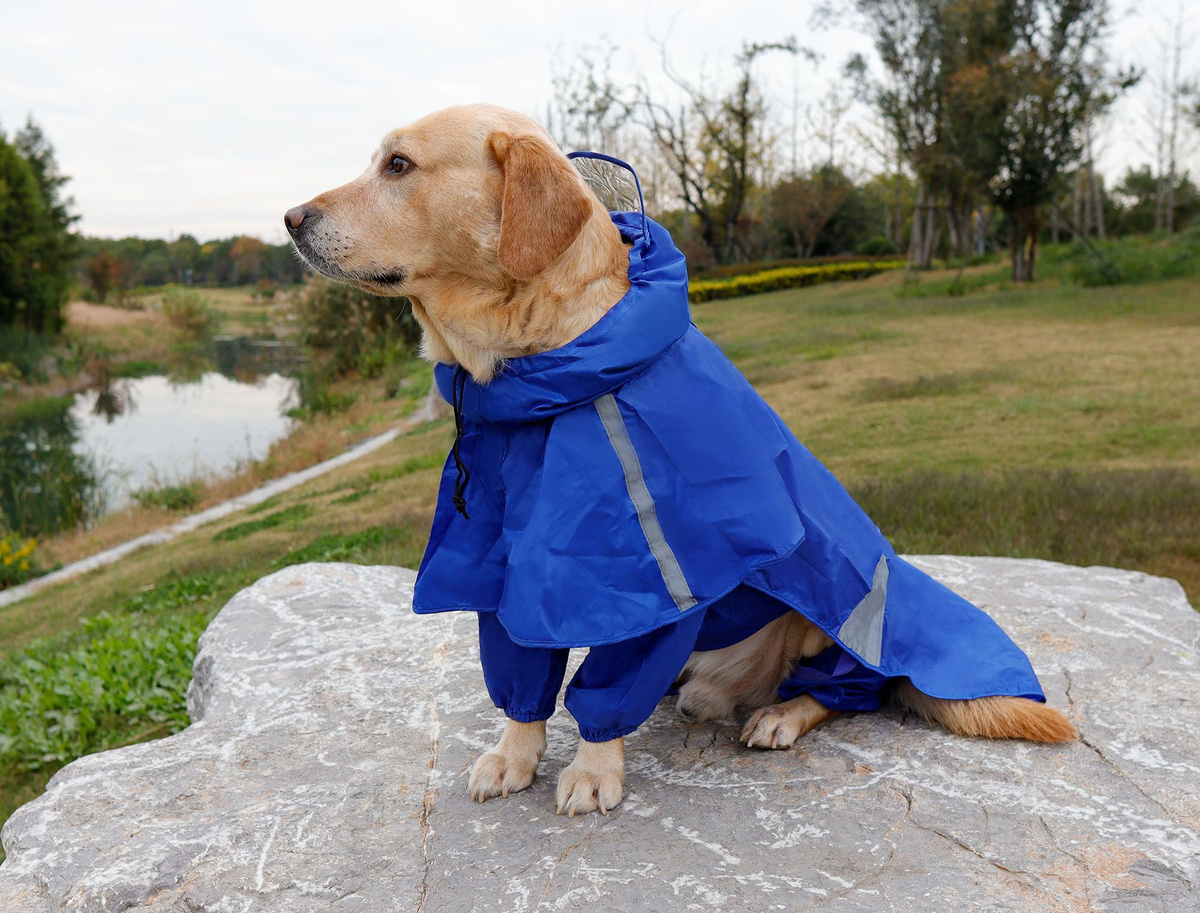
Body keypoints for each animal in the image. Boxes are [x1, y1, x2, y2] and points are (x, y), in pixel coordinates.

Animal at [283, 103, 1080, 815]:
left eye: (398, 165)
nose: (290, 219)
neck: (539, 376)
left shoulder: (651, 581)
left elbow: (605, 689)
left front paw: (593, 770)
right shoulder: (503, 572)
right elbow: (522, 683)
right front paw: (515, 755)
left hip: (840, 611)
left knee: (856, 690)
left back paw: (780, 713)